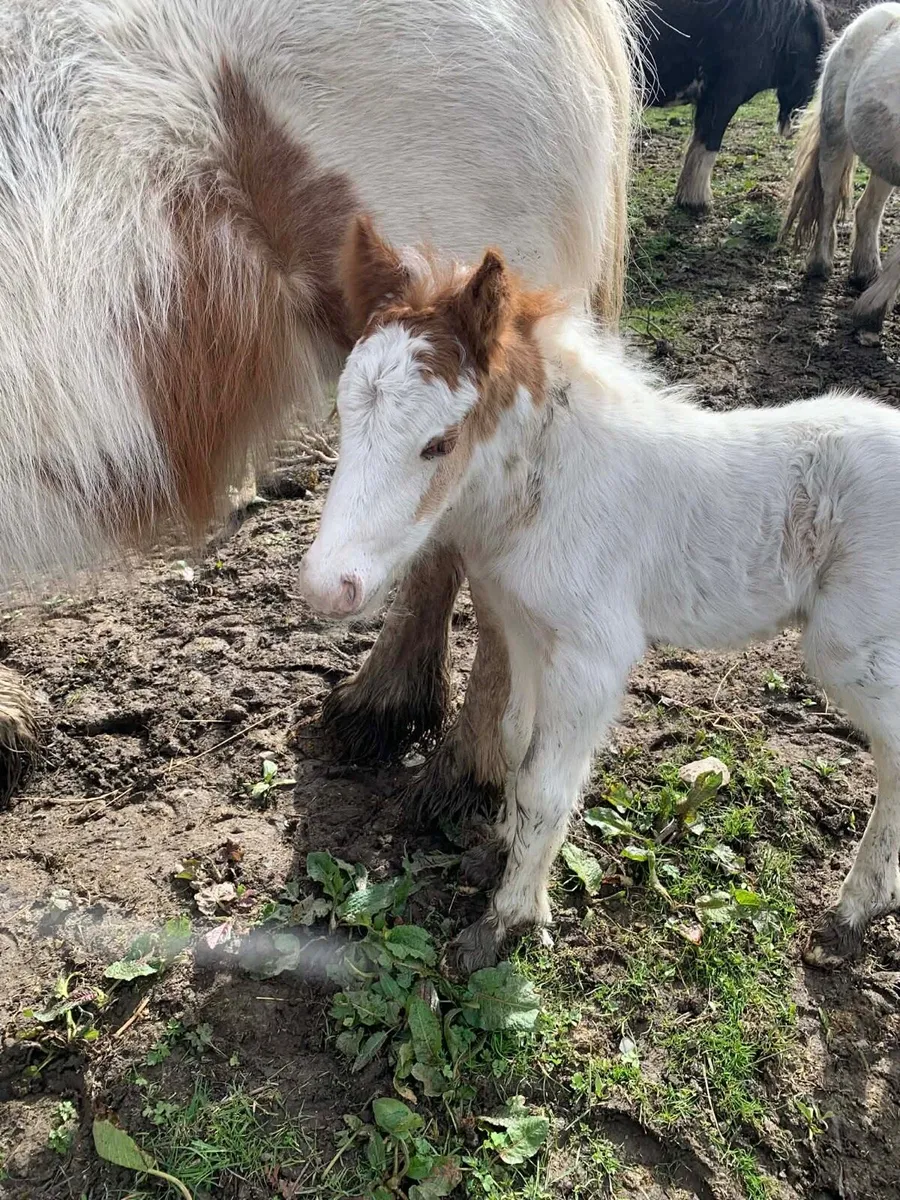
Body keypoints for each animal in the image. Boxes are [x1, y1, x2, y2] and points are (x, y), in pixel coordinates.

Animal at [302, 215, 900, 975]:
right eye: (344, 419)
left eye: (440, 442)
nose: (328, 586)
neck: (547, 482)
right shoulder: (525, 629)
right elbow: (517, 743)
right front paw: (502, 852)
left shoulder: (594, 652)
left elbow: (547, 783)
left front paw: (507, 920)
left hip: (852, 645)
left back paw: (856, 908)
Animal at [783, 2, 900, 335]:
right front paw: (872, 310)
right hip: (835, 137)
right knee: (830, 199)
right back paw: (819, 265)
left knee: (867, 209)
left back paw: (864, 272)